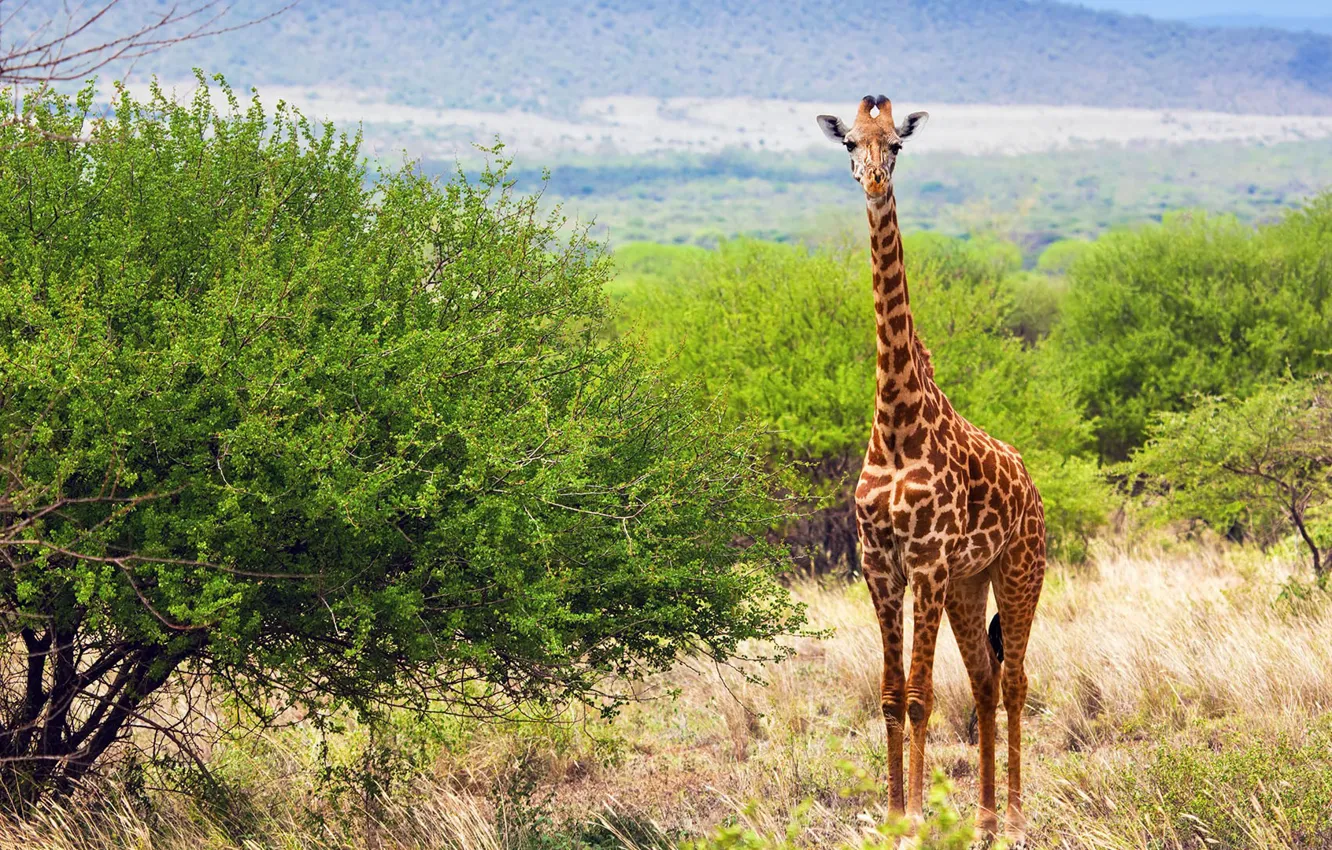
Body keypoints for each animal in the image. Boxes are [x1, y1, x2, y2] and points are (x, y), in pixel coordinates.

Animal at [815, 96, 1046, 845]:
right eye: (850, 144)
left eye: (897, 146)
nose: (872, 181)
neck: (896, 423)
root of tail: (1032, 485)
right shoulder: (879, 563)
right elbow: (892, 695)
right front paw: (892, 815)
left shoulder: (928, 562)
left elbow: (919, 696)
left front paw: (916, 816)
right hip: (973, 585)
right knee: (983, 680)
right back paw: (983, 819)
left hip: (1018, 570)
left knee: (1015, 681)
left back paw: (1018, 817)